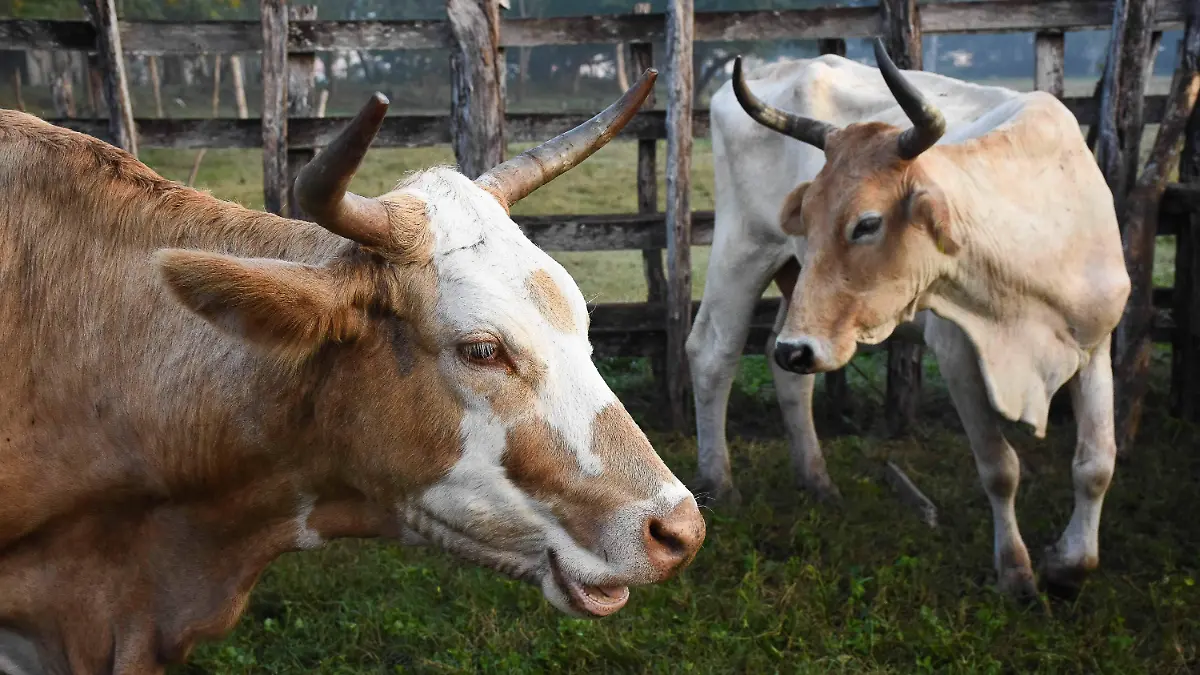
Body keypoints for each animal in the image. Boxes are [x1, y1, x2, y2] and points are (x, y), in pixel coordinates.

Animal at [691, 40, 1128, 598]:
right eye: (808, 217)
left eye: (867, 223)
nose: (799, 348)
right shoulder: (959, 353)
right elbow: (999, 466)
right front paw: (1016, 572)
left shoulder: (1096, 344)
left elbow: (1096, 462)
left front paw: (1070, 565)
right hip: (743, 247)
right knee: (713, 352)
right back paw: (719, 484)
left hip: (798, 294)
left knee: (784, 368)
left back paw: (818, 481)